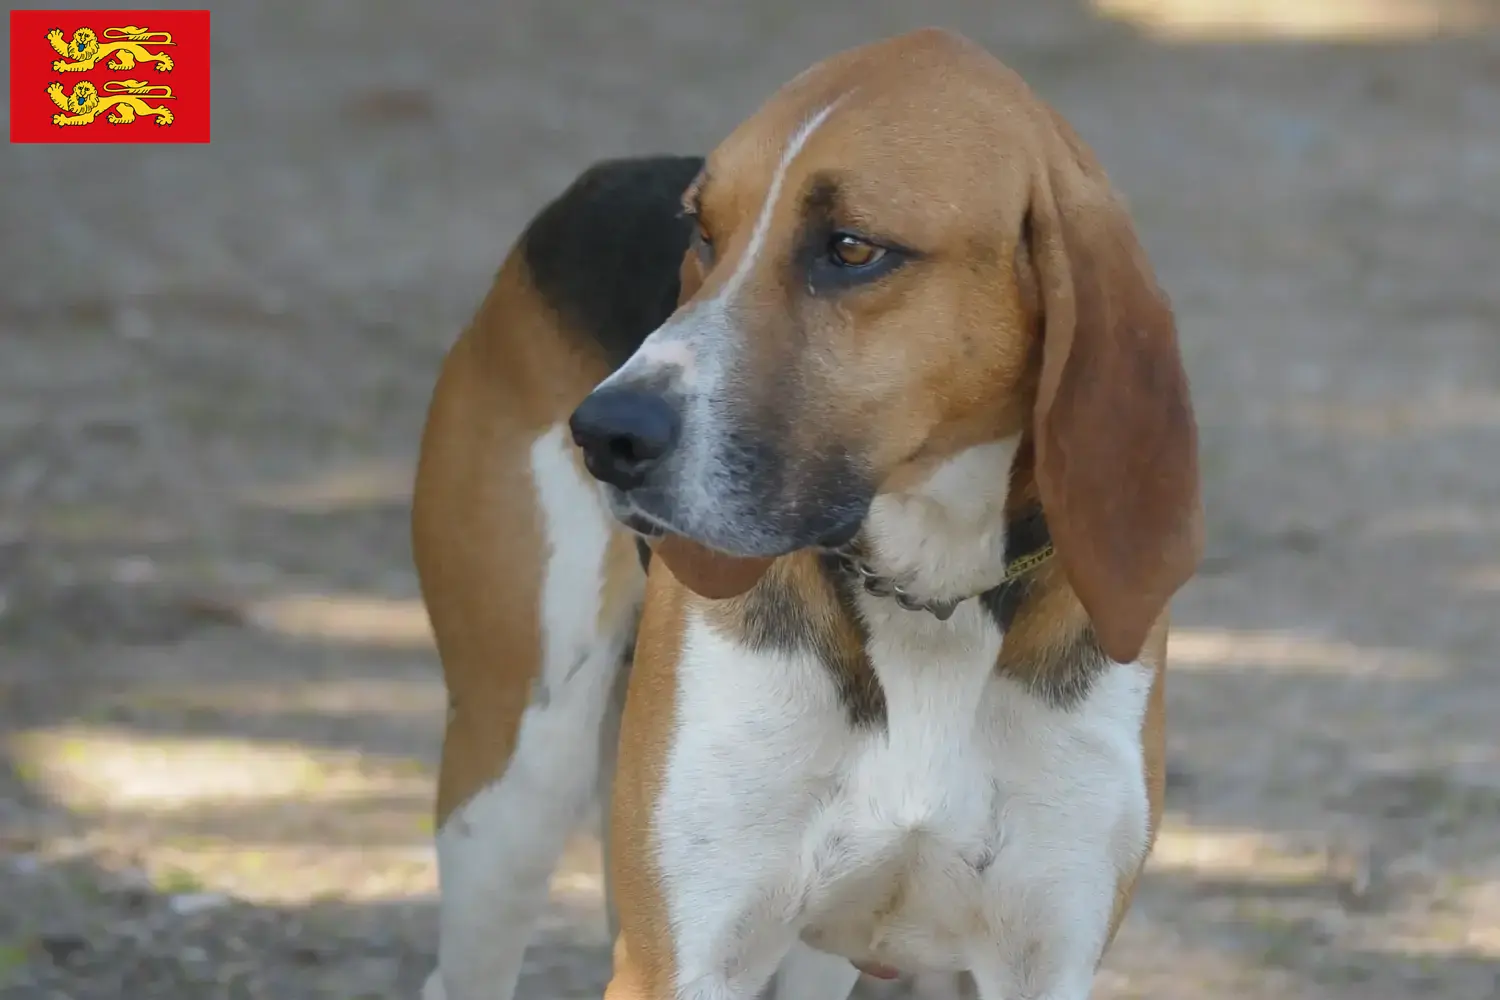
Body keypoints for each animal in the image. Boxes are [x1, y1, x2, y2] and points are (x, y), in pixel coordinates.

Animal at [414, 27, 1206, 1000]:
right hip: (516, 779)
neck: (928, 597)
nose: (603, 433)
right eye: (704, 234)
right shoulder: (682, 958)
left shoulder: (1043, 957)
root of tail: (592, 181)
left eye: (853, 249)